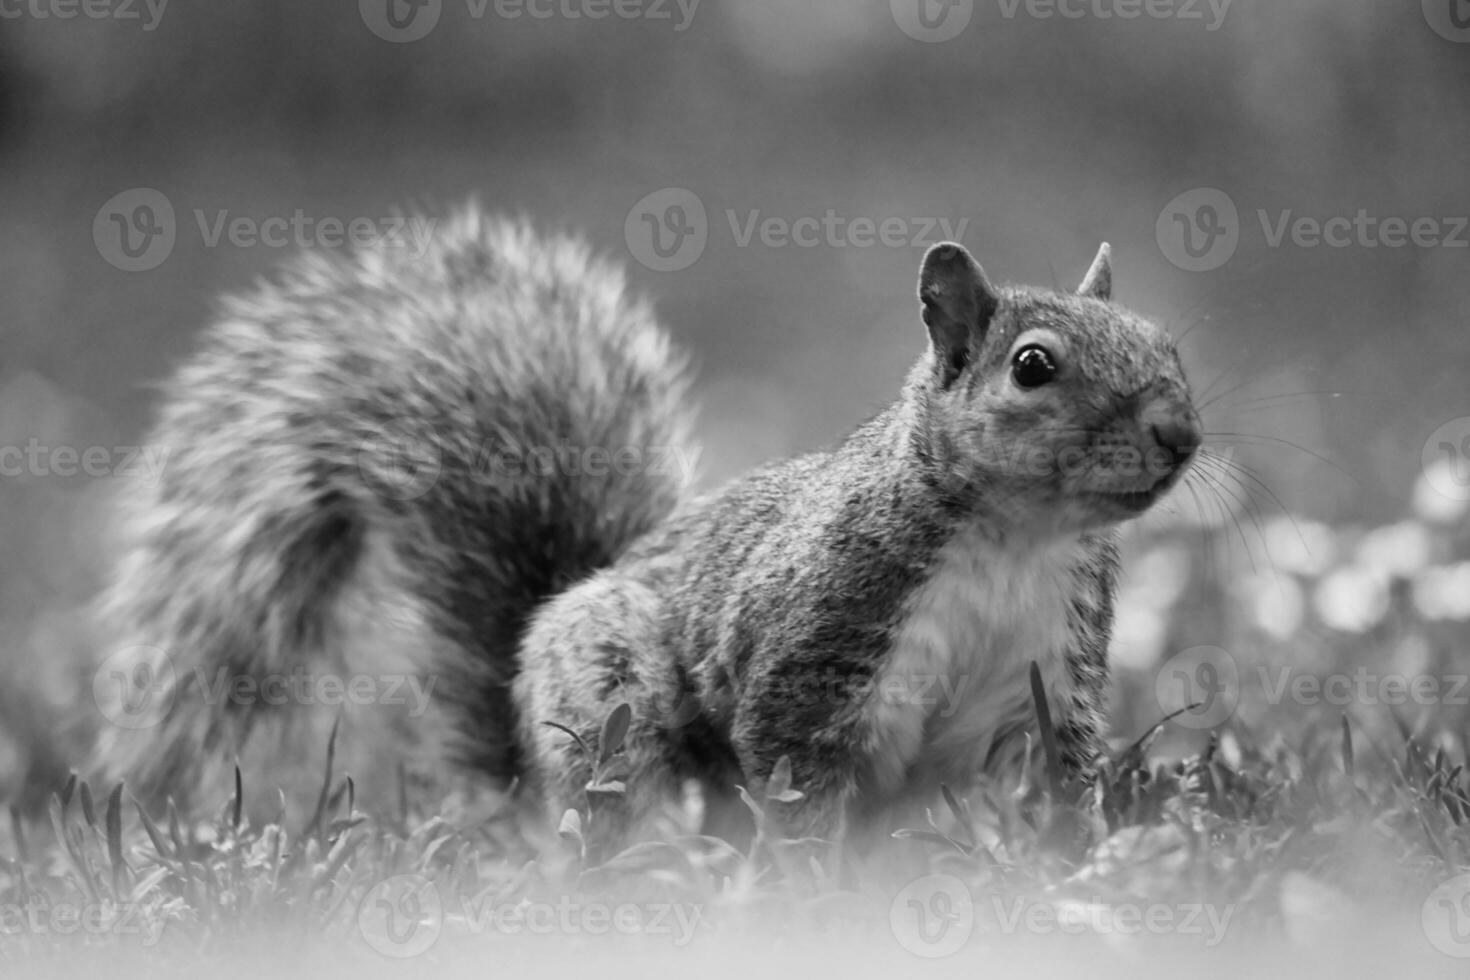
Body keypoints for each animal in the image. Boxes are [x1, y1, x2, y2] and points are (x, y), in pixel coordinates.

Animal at [91, 207, 1199, 852]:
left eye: (1167, 342)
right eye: (1033, 366)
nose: (1181, 434)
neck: (1017, 539)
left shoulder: (1046, 671)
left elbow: (1045, 778)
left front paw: (1062, 859)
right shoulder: (818, 637)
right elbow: (798, 769)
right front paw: (823, 884)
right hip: (613, 701)